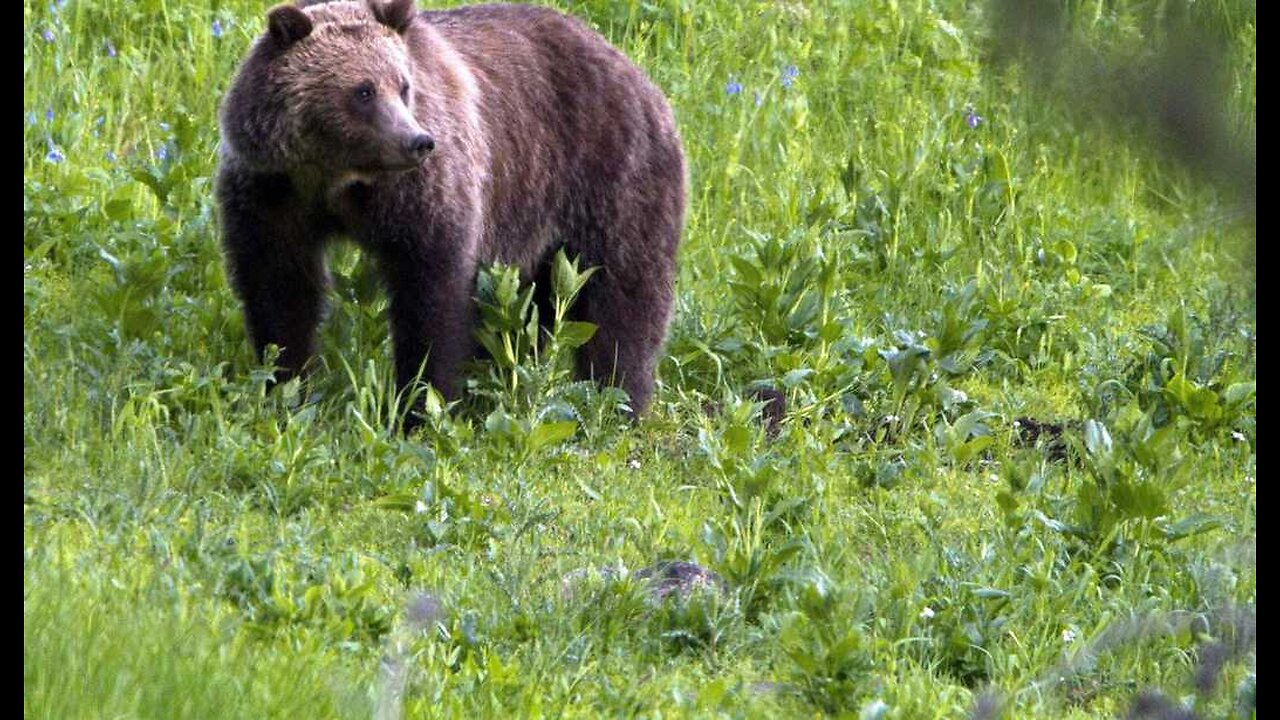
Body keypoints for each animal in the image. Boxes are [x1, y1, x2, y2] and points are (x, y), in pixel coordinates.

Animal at [215, 0, 686, 420]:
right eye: (363, 90)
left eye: (404, 85)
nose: (417, 141)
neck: (337, 178)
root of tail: (635, 70)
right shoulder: (272, 193)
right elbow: (280, 288)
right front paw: (284, 385)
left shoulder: (422, 196)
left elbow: (432, 294)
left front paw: (421, 405)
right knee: (530, 306)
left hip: (610, 176)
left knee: (623, 294)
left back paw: (616, 400)